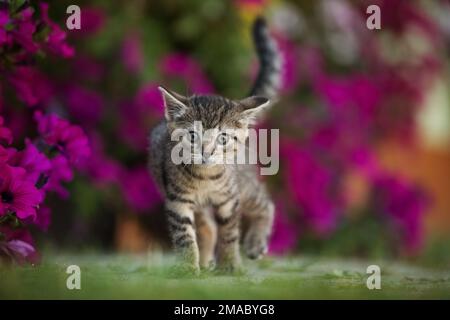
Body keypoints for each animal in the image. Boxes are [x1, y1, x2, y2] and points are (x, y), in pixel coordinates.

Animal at [148, 17, 282, 272]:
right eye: (193, 136)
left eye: (223, 138)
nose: (206, 152)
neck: (205, 178)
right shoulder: (177, 201)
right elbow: (184, 236)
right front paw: (188, 267)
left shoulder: (230, 199)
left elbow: (229, 231)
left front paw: (230, 263)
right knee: (207, 226)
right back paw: (205, 260)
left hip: (245, 185)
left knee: (266, 204)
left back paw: (255, 242)